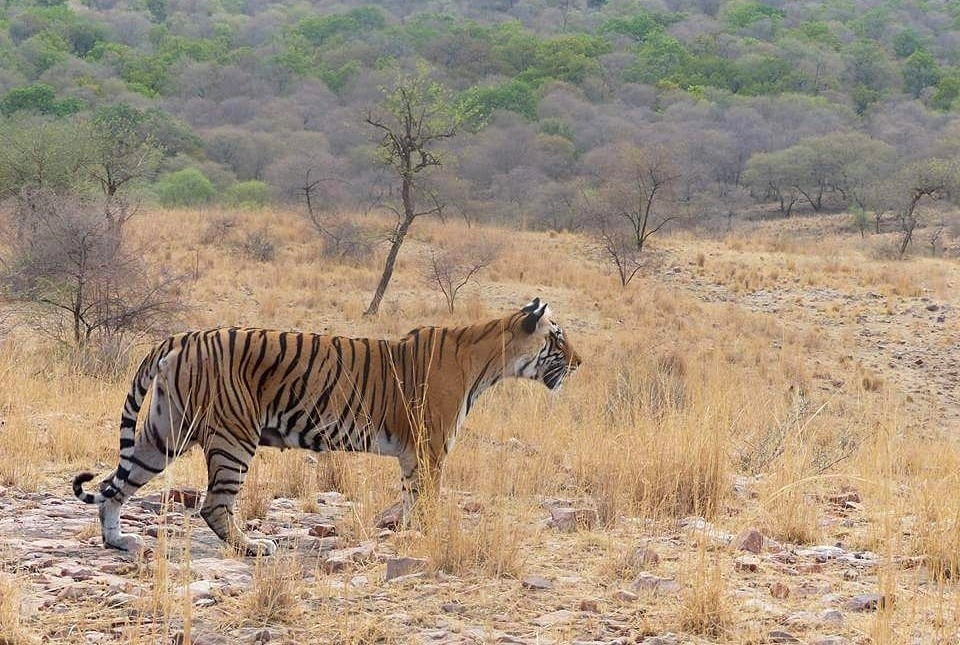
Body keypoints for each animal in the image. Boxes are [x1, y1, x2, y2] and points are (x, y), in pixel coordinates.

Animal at [73, 298, 581, 556]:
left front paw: (405, 532)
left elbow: (411, 497)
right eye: (558, 338)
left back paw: (118, 541)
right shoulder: (430, 447)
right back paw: (253, 547)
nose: (579, 362)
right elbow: (427, 499)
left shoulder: (416, 454)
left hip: (164, 433)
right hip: (234, 437)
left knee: (115, 486)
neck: (490, 360)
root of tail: (183, 335)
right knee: (213, 506)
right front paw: (431, 536)